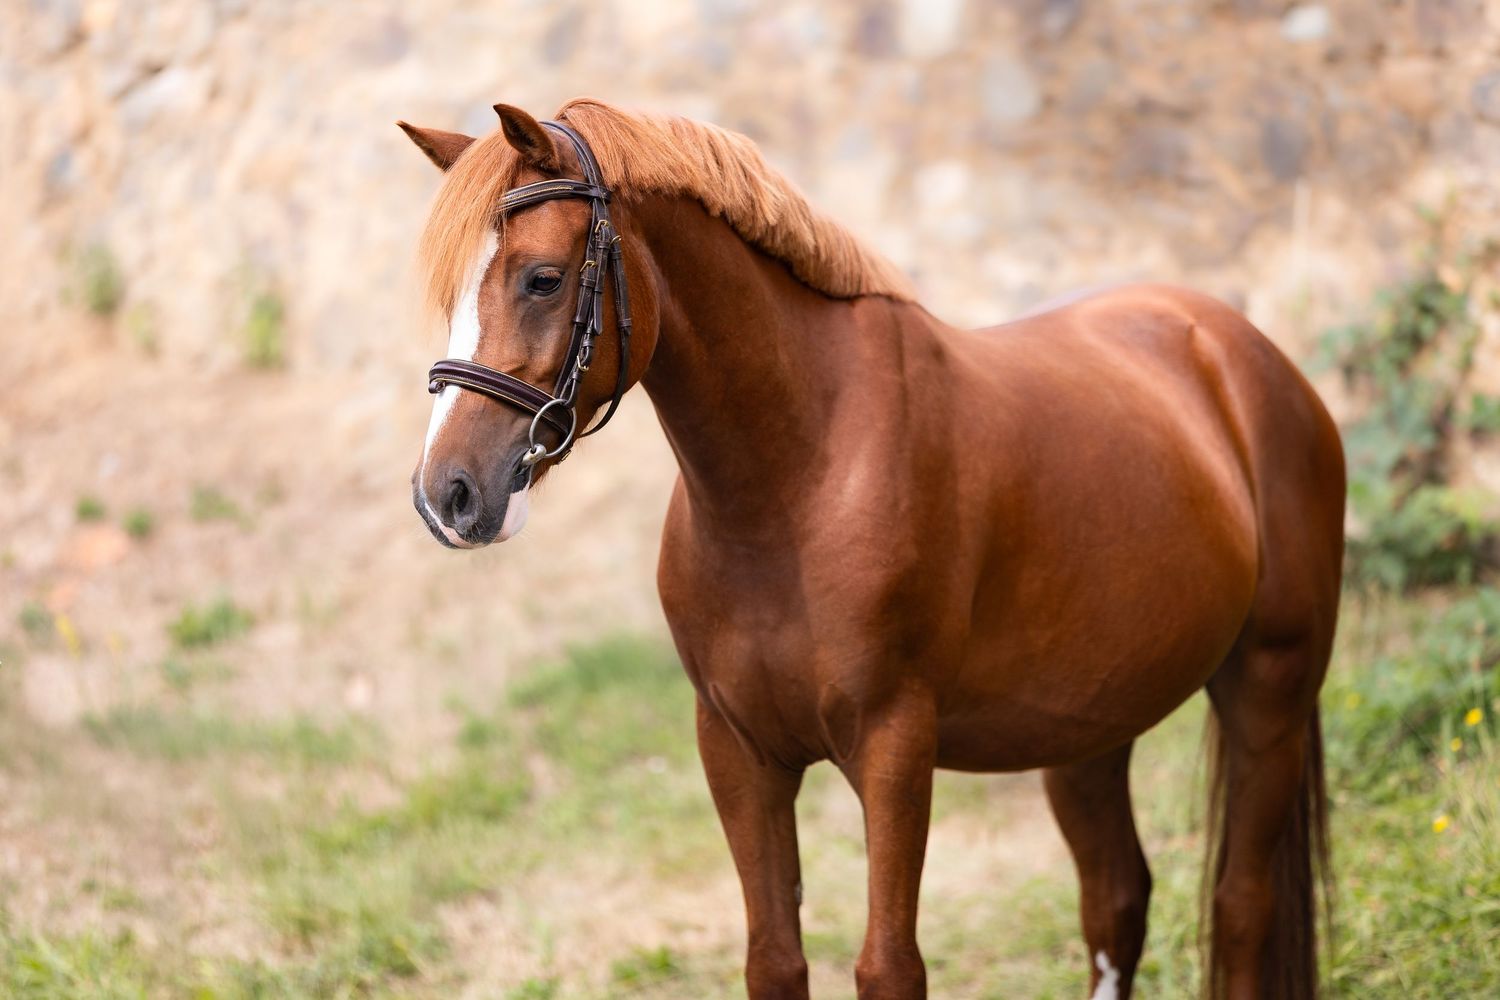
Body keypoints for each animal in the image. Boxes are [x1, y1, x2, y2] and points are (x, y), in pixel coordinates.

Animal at [401, 99, 1344, 1000]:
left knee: (1242, 903)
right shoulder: (739, 753)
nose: (448, 494)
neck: (795, 485)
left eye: (543, 278)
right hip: (1090, 732)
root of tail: (1242, 354)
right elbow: (774, 962)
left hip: (1268, 686)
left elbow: (889, 968)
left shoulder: (893, 749)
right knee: (1116, 902)